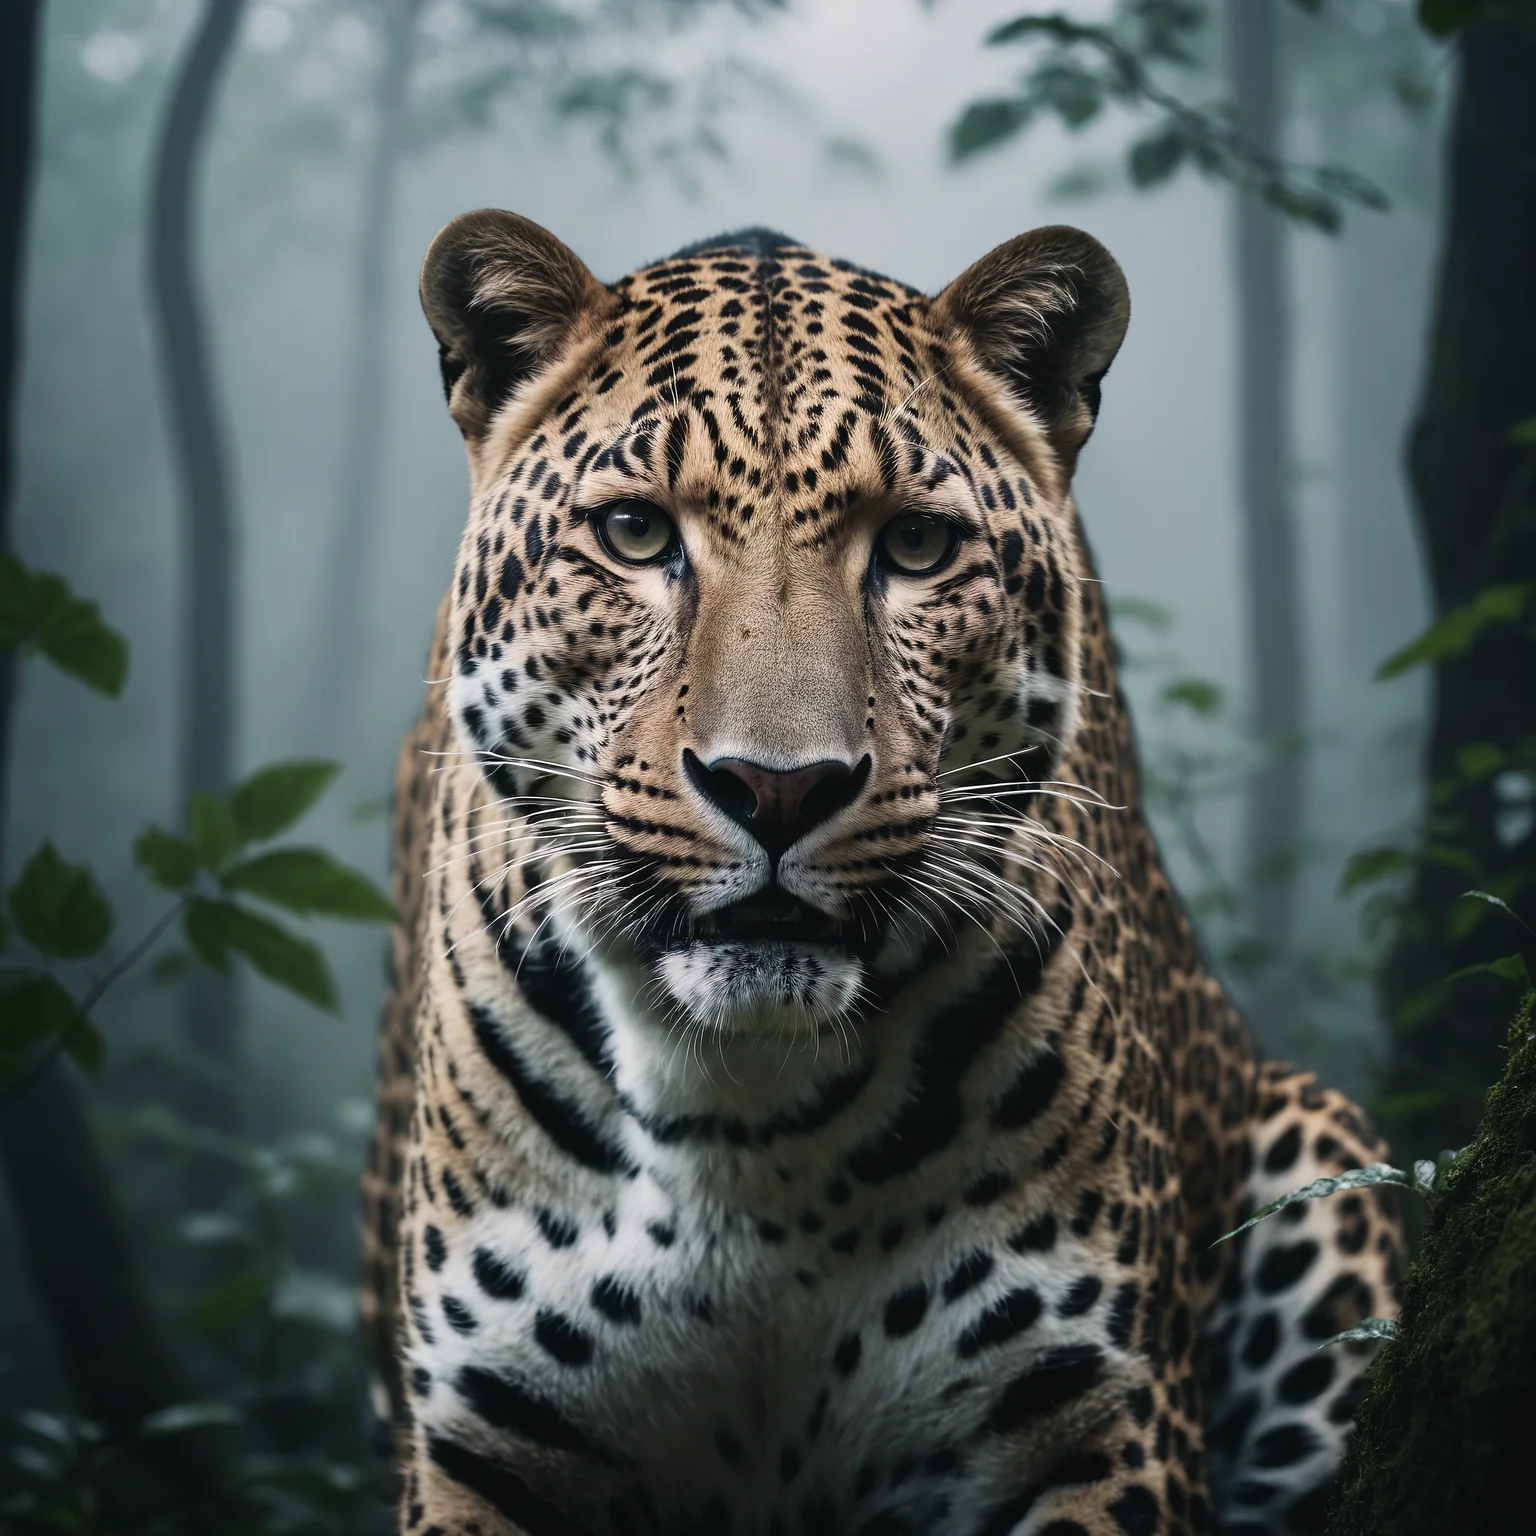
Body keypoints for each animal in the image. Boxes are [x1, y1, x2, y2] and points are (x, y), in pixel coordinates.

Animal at [360, 212, 1405, 1536]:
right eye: (636, 534)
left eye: (914, 544)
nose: (777, 788)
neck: (746, 1124)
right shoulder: (480, 1440)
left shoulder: (1101, 1424)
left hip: (1327, 1161)